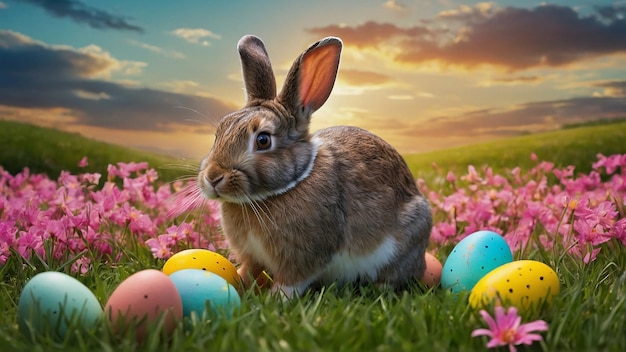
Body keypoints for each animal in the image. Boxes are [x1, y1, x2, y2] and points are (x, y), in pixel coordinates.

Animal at [197, 34, 432, 296]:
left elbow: (292, 281)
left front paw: (277, 298)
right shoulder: (252, 255)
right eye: (219, 131)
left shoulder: (304, 256)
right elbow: (250, 269)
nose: (213, 177)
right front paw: (234, 282)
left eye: (263, 140)